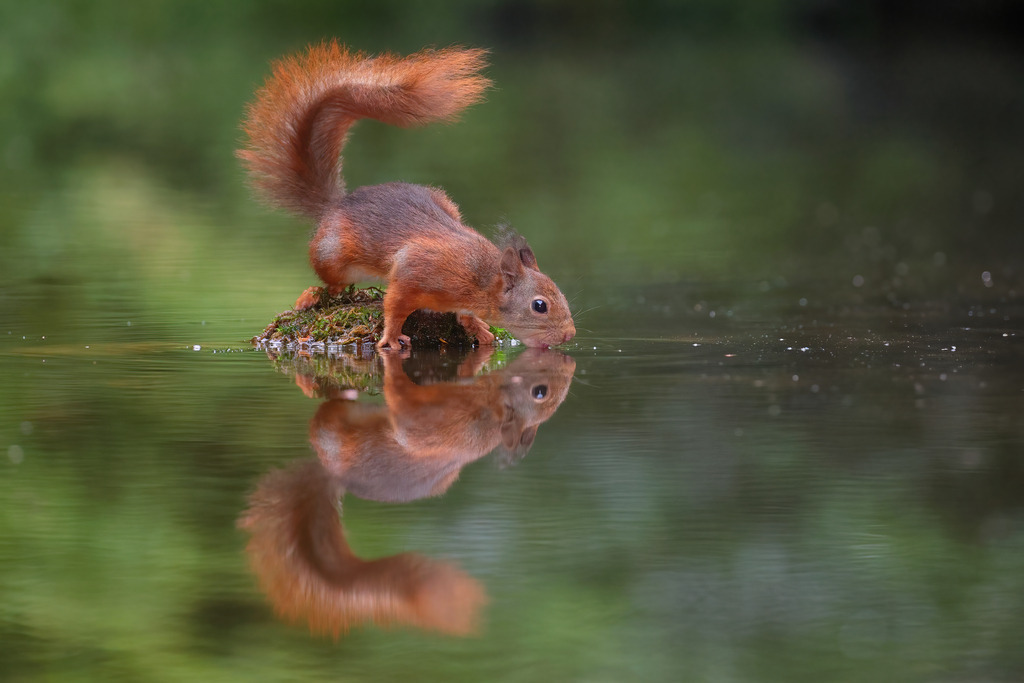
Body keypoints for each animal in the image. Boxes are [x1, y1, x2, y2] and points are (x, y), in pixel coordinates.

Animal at [238, 41, 576, 350]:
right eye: (540, 305)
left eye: (561, 293)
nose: (570, 335)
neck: (479, 279)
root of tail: (337, 203)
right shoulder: (415, 270)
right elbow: (395, 305)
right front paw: (390, 336)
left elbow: (464, 316)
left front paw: (478, 328)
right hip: (331, 253)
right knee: (333, 283)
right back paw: (312, 294)